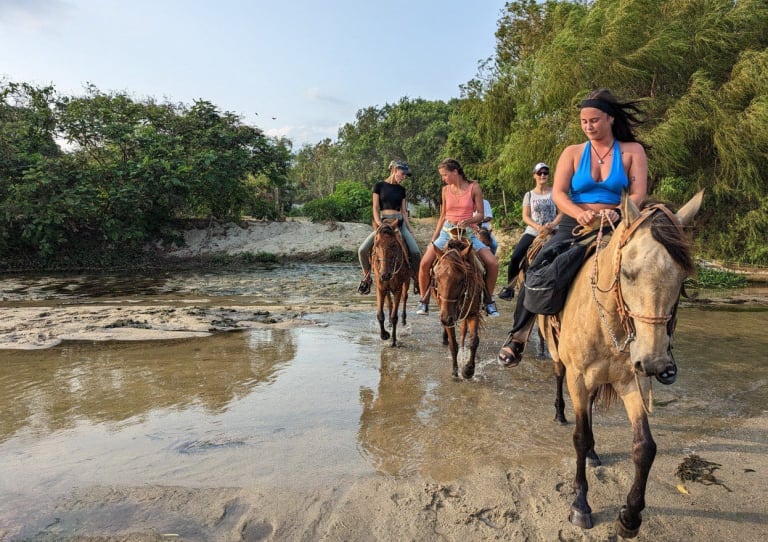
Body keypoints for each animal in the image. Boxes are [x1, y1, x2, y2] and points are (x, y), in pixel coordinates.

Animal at [432, 238, 484, 379]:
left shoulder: (473, 313)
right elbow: (452, 344)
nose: (445, 319)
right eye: (437, 278)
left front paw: (468, 369)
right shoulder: (448, 317)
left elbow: (473, 340)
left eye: (461, 280)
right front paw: (455, 370)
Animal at [538, 190, 703, 537]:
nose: (655, 363)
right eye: (627, 272)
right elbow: (580, 436)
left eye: (682, 277)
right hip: (557, 355)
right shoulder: (578, 378)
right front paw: (580, 505)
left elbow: (645, 447)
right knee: (559, 379)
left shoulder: (630, 381)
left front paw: (630, 516)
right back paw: (560, 413)